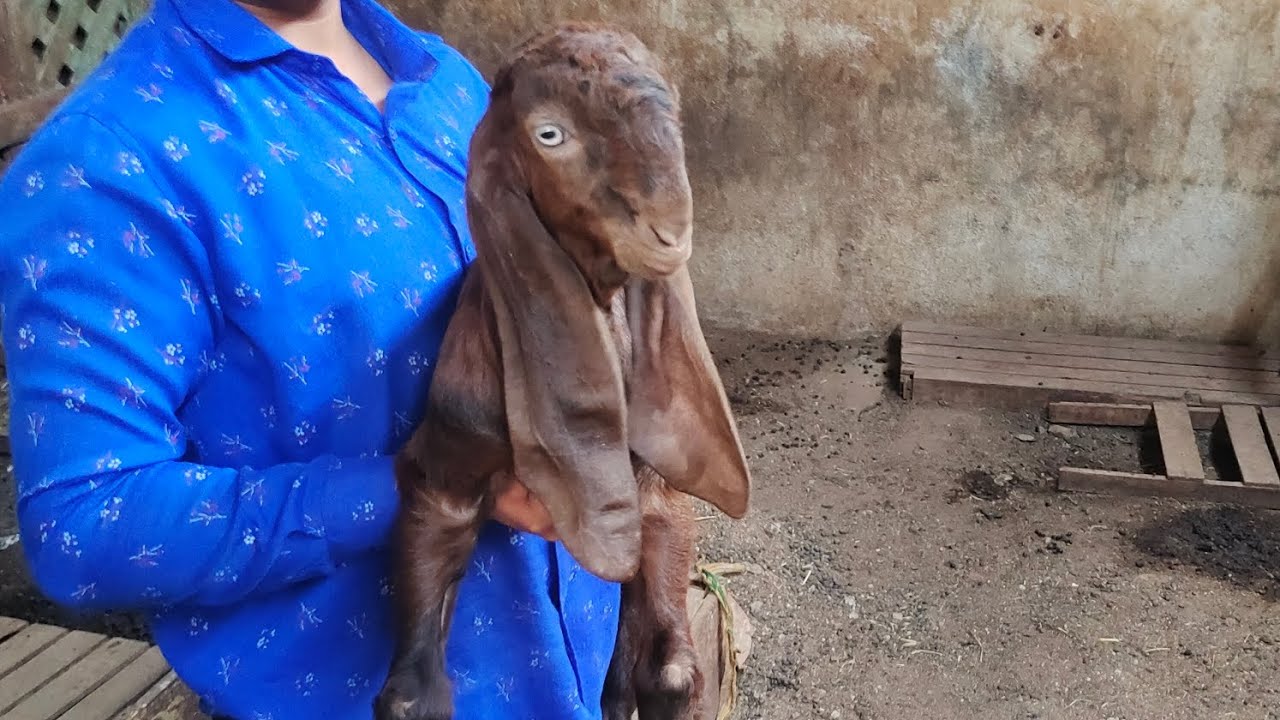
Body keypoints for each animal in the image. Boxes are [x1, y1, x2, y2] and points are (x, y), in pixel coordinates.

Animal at [374, 22, 752, 720]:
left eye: (674, 110)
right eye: (550, 134)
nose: (671, 231)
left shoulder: (660, 493)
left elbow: (672, 671)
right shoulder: (444, 472)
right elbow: (410, 698)